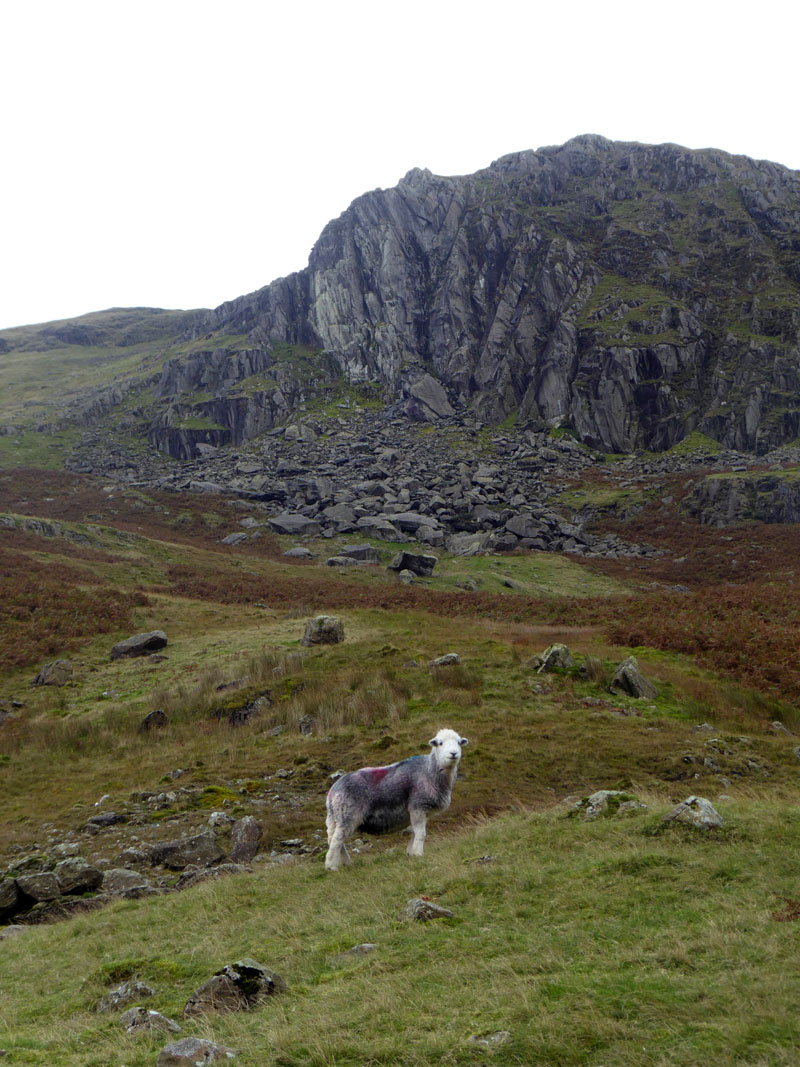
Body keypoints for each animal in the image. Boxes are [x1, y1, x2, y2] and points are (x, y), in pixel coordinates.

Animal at [324, 729, 467, 870]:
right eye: (440, 743)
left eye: (459, 742)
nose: (453, 753)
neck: (430, 770)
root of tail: (333, 791)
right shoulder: (418, 805)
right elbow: (421, 833)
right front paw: (419, 854)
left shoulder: (422, 811)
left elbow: (415, 832)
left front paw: (412, 853)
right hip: (348, 815)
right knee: (336, 841)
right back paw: (331, 866)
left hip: (337, 818)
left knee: (335, 840)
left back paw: (346, 863)